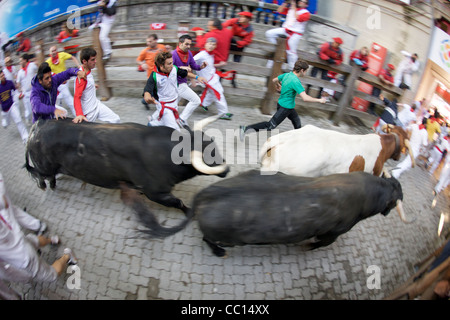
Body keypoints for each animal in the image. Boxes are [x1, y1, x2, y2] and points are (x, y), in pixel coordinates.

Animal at [24, 116, 229, 214]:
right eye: (208, 155)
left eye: (214, 146)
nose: (226, 169)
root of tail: (38, 125)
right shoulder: (156, 193)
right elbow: (178, 202)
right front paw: (189, 212)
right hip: (44, 166)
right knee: (39, 174)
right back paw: (44, 186)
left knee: (48, 175)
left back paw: (52, 185)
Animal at [122, 170, 408, 258]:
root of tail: (204, 196)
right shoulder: (335, 232)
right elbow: (320, 243)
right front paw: (307, 247)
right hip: (227, 237)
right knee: (207, 239)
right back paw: (219, 252)